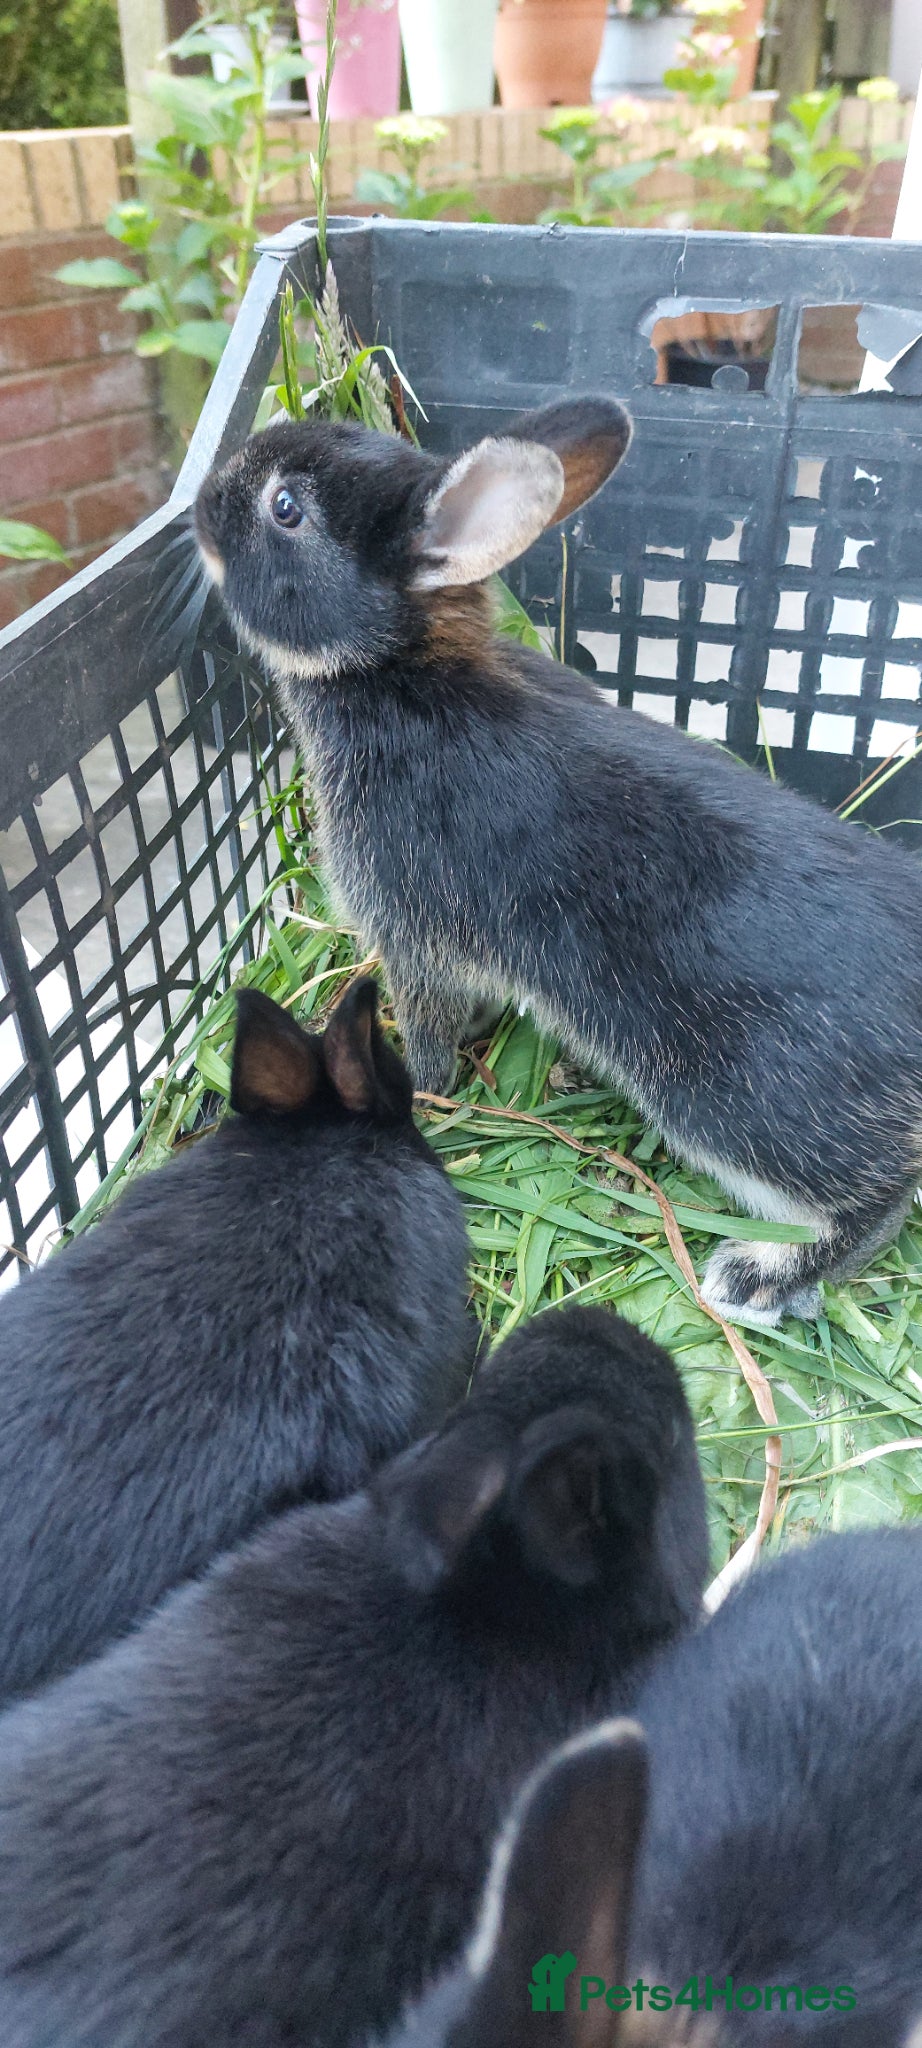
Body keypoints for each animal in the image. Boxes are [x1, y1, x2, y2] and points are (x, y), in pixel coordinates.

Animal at [195, 398, 922, 1327]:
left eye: (284, 508)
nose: (201, 505)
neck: (398, 666)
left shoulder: (413, 933)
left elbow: (425, 1025)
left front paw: (417, 1085)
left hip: (744, 1100)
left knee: (877, 1195)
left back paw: (759, 1276)